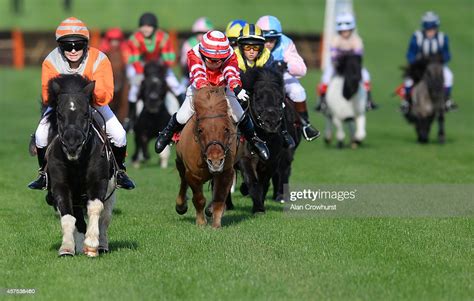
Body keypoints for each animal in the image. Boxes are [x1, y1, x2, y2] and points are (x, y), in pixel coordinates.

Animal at [45, 74, 115, 255]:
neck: (77, 162)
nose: (72, 144)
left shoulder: (99, 183)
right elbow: (68, 218)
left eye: (85, 113)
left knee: (105, 218)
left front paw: (91, 244)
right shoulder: (61, 186)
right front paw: (67, 247)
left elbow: (95, 209)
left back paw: (102, 245)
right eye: (59, 114)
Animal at [174, 86, 237, 227]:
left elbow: (219, 199)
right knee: (182, 180)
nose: (216, 161)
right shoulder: (192, 174)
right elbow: (198, 199)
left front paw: (216, 224)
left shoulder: (226, 172)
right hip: (179, 162)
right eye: (200, 130)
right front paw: (201, 223)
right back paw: (181, 205)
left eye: (226, 129)